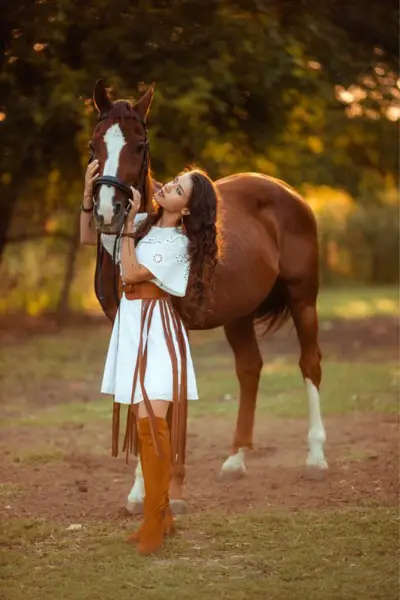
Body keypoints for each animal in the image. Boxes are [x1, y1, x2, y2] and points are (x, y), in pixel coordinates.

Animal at [89, 78, 326, 510]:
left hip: (304, 299)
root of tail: (286, 192)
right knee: (250, 369)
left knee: (309, 363)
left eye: (140, 145)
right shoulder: (127, 323)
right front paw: (139, 491)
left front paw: (168, 487)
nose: (108, 212)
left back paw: (316, 458)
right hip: (239, 314)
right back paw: (235, 461)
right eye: (94, 144)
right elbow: (140, 394)